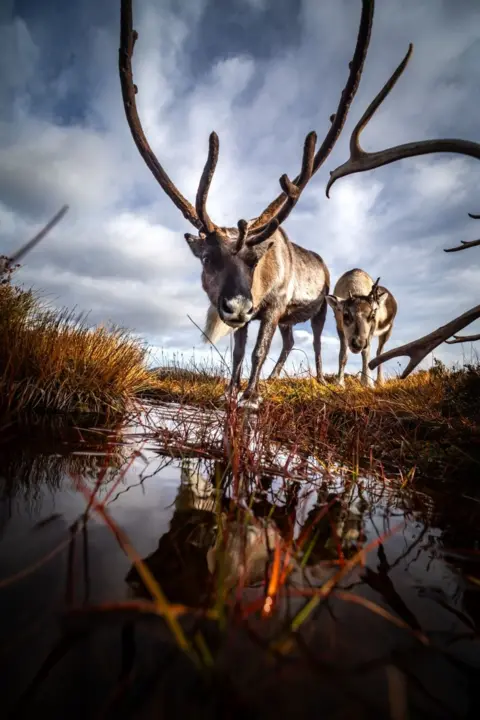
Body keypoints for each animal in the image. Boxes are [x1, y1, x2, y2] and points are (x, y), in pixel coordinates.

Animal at [118, 0, 377, 409]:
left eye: (255, 261)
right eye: (208, 259)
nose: (238, 306)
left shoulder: (272, 309)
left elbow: (258, 350)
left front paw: (251, 397)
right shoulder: (249, 317)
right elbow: (239, 352)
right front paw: (231, 391)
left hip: (320, 310)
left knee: (317, 342)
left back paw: (320, 378)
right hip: (287, 320)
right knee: (289, 343)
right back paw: (273, 379)